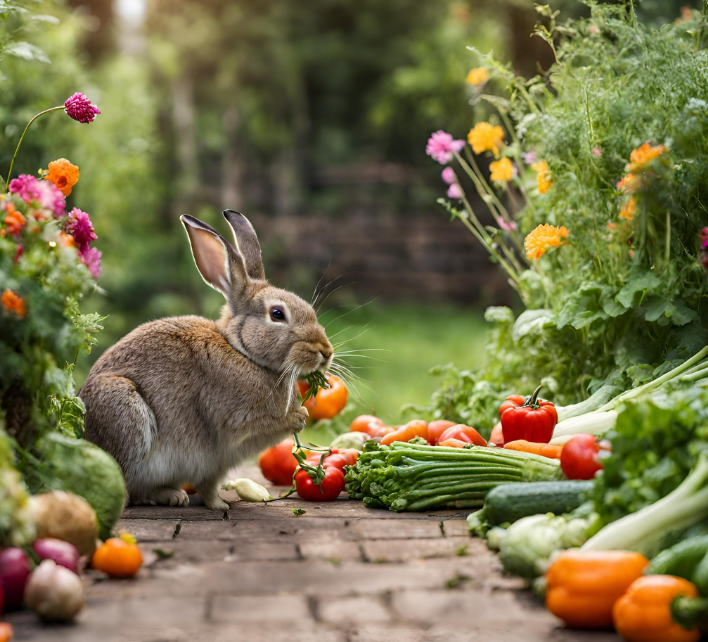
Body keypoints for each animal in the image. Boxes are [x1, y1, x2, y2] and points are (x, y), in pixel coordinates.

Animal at [79, 210, 333, 511]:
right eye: (277, 314)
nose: (326, 351)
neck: (243, 352)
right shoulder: (228, 432)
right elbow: (212, 481)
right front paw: (221, 506)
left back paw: (174, 495)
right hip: (123, 409)